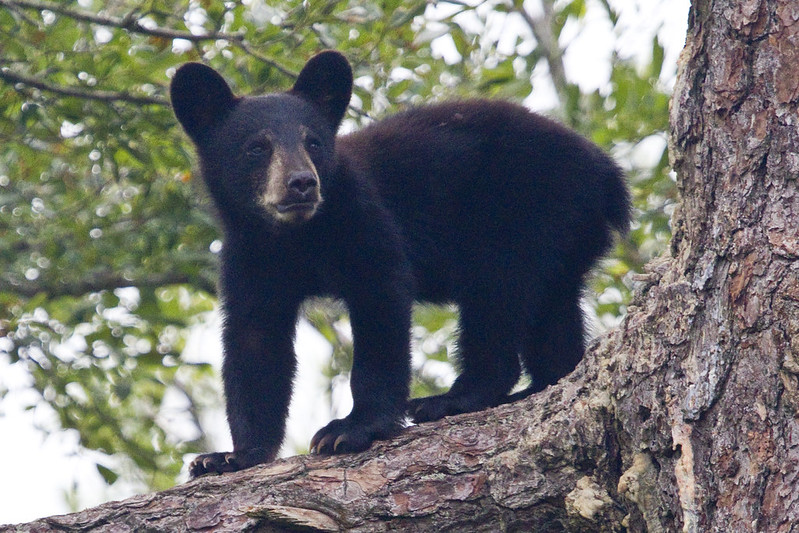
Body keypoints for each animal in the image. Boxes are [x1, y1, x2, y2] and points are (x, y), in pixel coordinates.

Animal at [170, 50, 630, 477]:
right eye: (256, 147)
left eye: (313, 141)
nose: (301, 183)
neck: (298, 237)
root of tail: (606, 171)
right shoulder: (250, 256)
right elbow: (255, 343)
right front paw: (230, 457)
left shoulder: (363, 219)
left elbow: (382, 305)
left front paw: (350, 429)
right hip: (564, 232)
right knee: (553, 310)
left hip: (530, 210)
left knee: (496, 297)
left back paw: (450, 399)